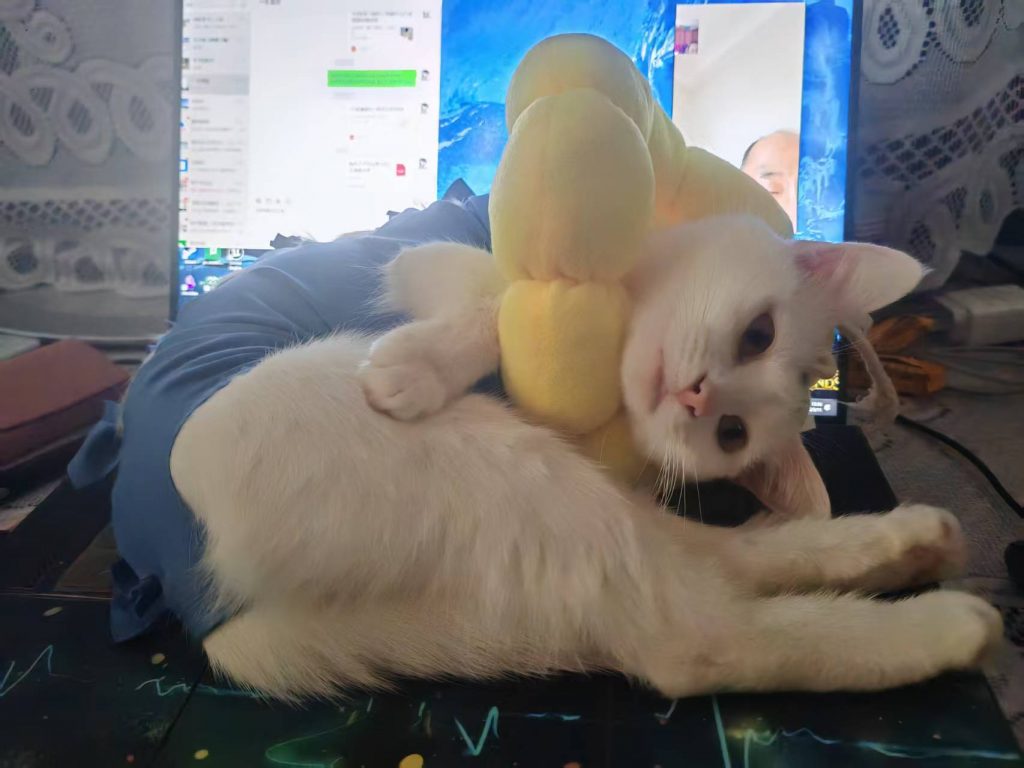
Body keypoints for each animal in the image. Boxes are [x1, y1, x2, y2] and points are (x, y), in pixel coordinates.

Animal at [170, 215, 1001, 700]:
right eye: (757, 335)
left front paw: (414, 363)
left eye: (731, 434)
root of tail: (211, 620)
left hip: (511, 473)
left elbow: (508, 309)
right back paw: (912, 550)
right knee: (709, 568)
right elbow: (500, 305)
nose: (696, 397)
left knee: (692, 632)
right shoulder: (426, 257)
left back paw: (944, 606)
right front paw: (418, 363)